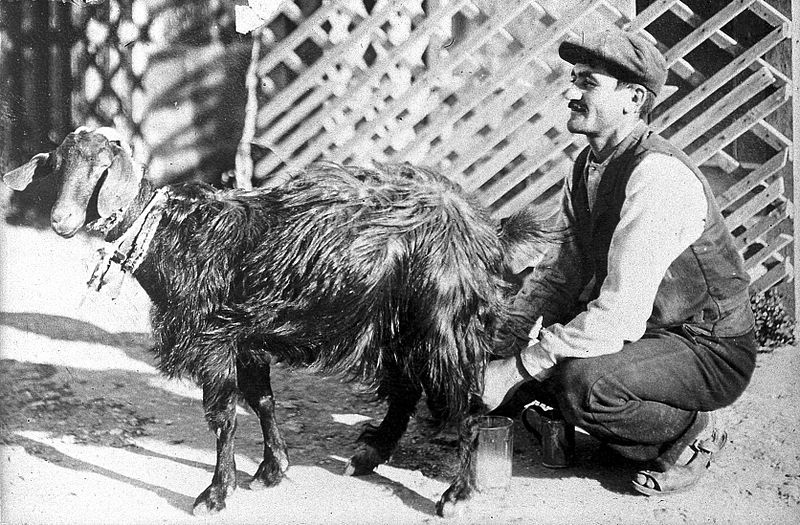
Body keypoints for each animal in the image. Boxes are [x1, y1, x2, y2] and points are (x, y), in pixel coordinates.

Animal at [0, 128, 548, 516]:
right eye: (56, 167)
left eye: (101, 168)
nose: (62, 221)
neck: (173, 236)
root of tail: (484, 232)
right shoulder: (245, 337)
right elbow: (262, 401)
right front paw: (271, 470)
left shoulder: (213, 340)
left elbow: (223, 417)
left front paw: (216, 494)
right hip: (398, 324)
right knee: (408, 390)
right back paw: (370, 456)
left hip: (443, 324)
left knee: (467, 405)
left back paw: (457, 494)